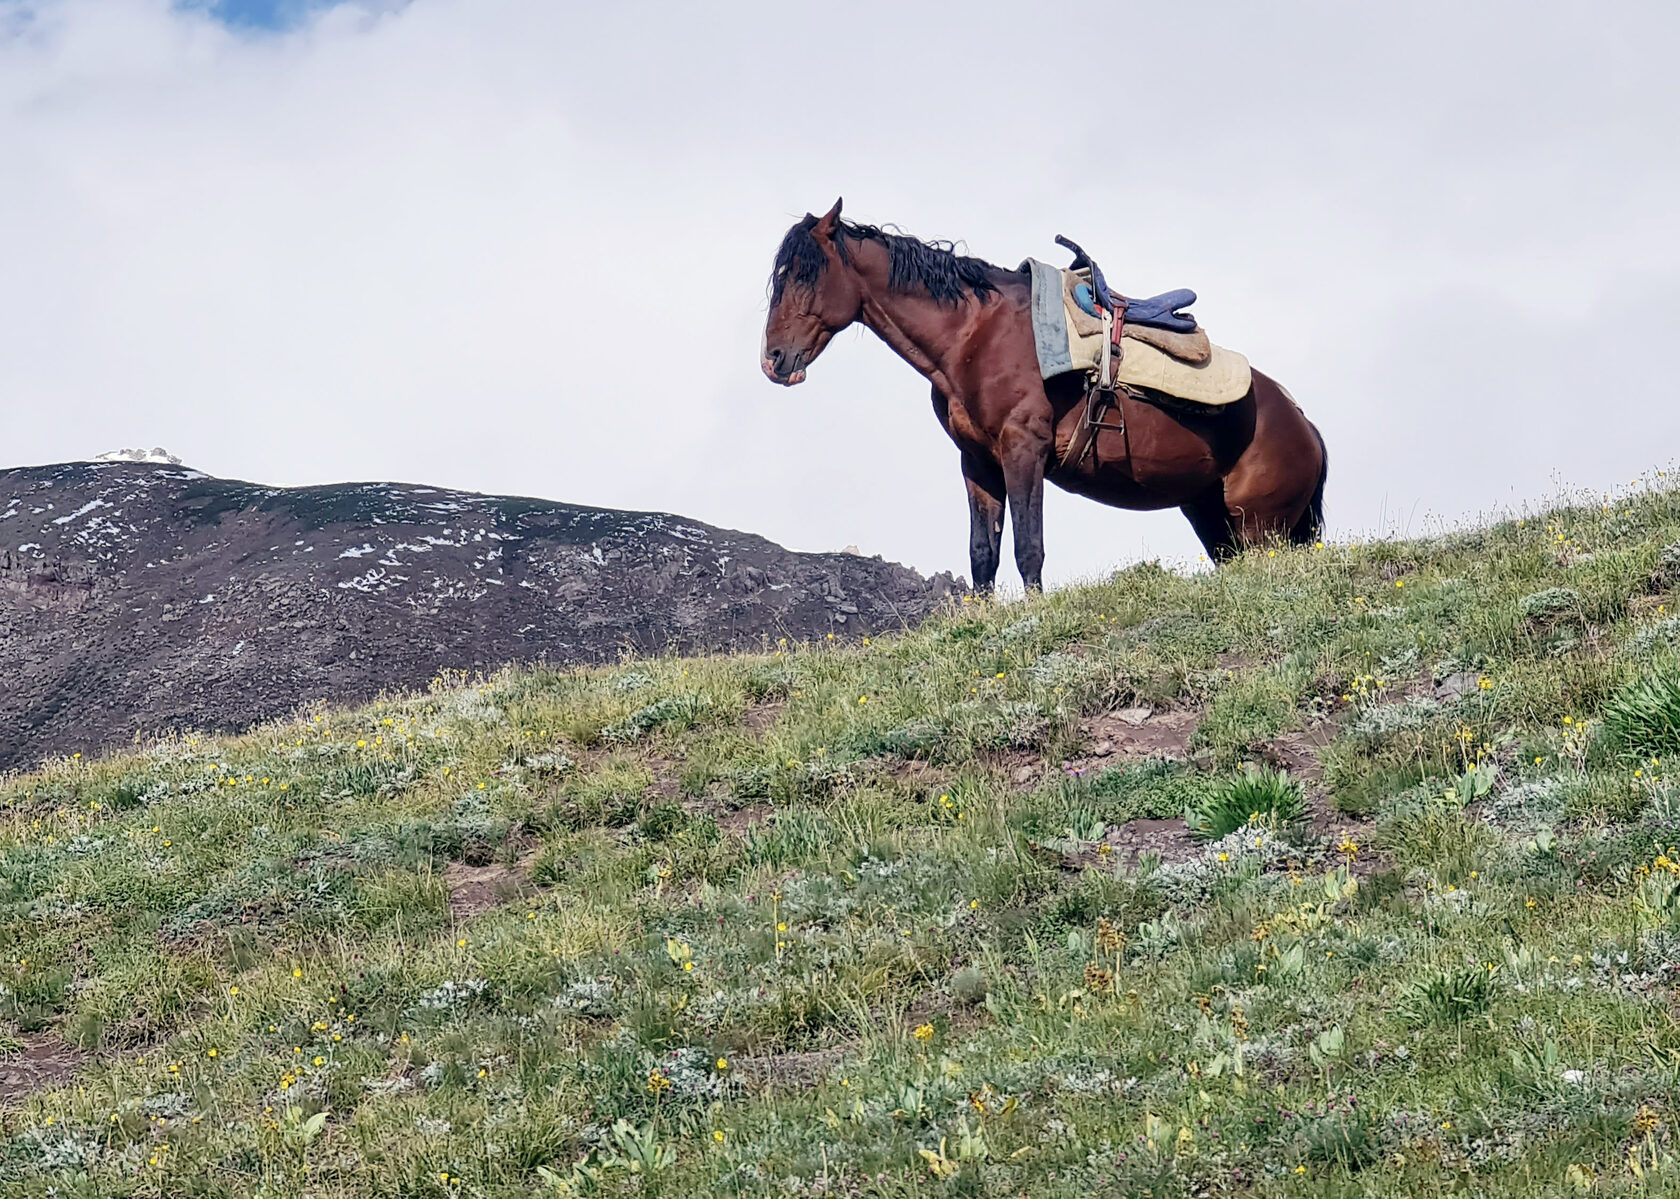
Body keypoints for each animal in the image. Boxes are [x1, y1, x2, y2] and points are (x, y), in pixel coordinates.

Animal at [759, 199, 1323, 594]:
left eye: (805, 273)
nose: (774, 359)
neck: (974, 336)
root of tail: (1305, 428)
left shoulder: (1023, 449)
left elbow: (1028, 547)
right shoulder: (978, 461)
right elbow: (982, 553)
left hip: (1261, 529)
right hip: (1212, 519)